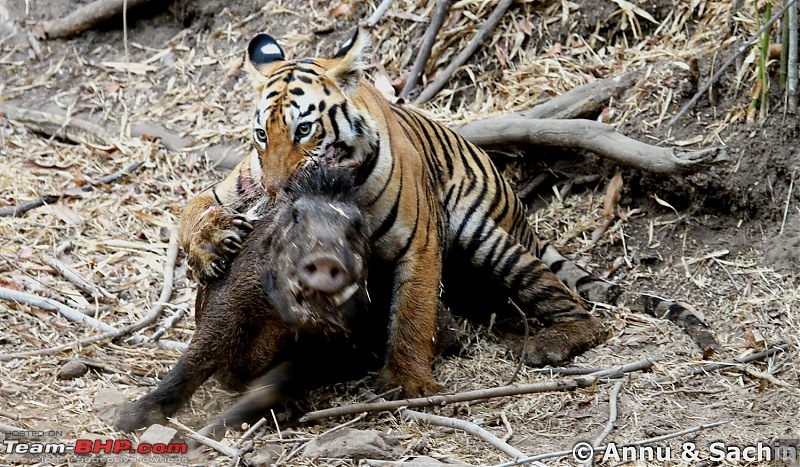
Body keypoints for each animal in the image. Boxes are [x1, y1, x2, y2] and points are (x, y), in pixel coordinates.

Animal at [178, 29, 704, 396]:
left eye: (304, 129)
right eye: (261, 135)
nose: (275, 190)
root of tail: (523, 219)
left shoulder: (420, 239)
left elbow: (412, 312)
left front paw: (407, 382)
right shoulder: (234, 183)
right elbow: (190, 208)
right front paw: (209, 247)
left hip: (486, 238)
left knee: (582, 311)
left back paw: (548, 344)